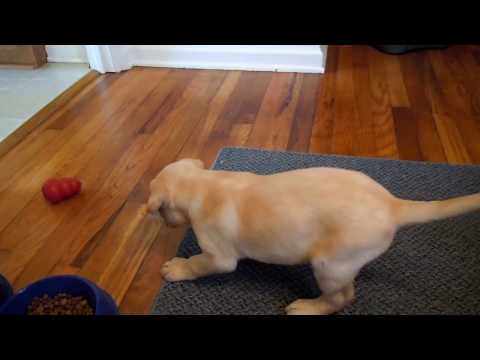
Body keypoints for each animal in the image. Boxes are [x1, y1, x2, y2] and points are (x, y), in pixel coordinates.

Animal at [146, 159, 480, 314]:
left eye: (161, 212)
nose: (167, 223)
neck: (203, 184)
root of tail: (392, 204)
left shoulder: (219, 256)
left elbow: (200, 263)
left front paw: (177, 268)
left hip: (329, 265)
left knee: (342, 297)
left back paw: (308, 308)